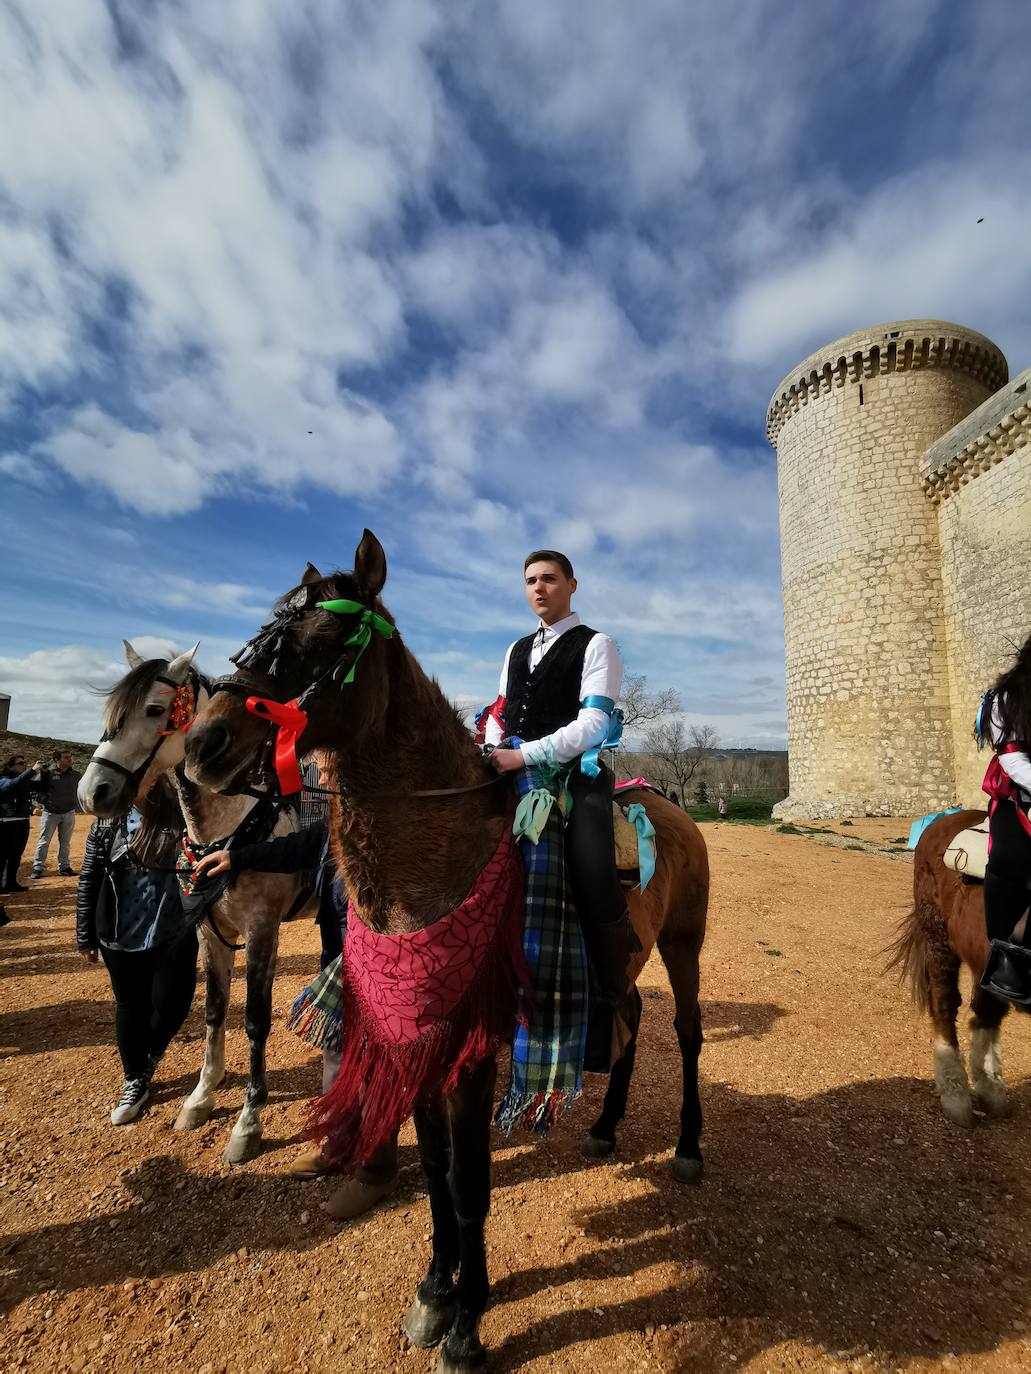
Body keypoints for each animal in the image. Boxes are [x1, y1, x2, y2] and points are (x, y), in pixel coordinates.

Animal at [185, 530, 709, 1368]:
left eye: (324, 643)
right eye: (259, 636)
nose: (204, 743)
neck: (440, 854)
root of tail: (663, 803)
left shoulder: (470, 1049)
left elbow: (468, 1187)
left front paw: (466, 1325)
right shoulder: (417, 1035)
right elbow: (435, 1172)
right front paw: (435, 1294)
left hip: (685, 943)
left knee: (686, 1034)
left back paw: (687, 1146)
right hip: (621, 969)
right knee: (626, 1019)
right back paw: (602, 1127)